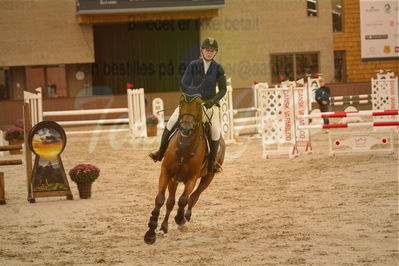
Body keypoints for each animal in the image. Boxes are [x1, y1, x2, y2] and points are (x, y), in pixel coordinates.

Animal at [144, 93, 225, 245]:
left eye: (199, 105)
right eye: (181, 104)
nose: (186, 129)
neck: (184, 147)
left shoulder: (191, 178)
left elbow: (183, 200)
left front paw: (180, 220)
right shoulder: (166, 173)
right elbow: (160, 199)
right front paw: (150, 233)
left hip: (208, 177)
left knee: (194, 196)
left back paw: (186, 216)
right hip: (174, 180)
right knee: (170, 202)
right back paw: (164, 226)